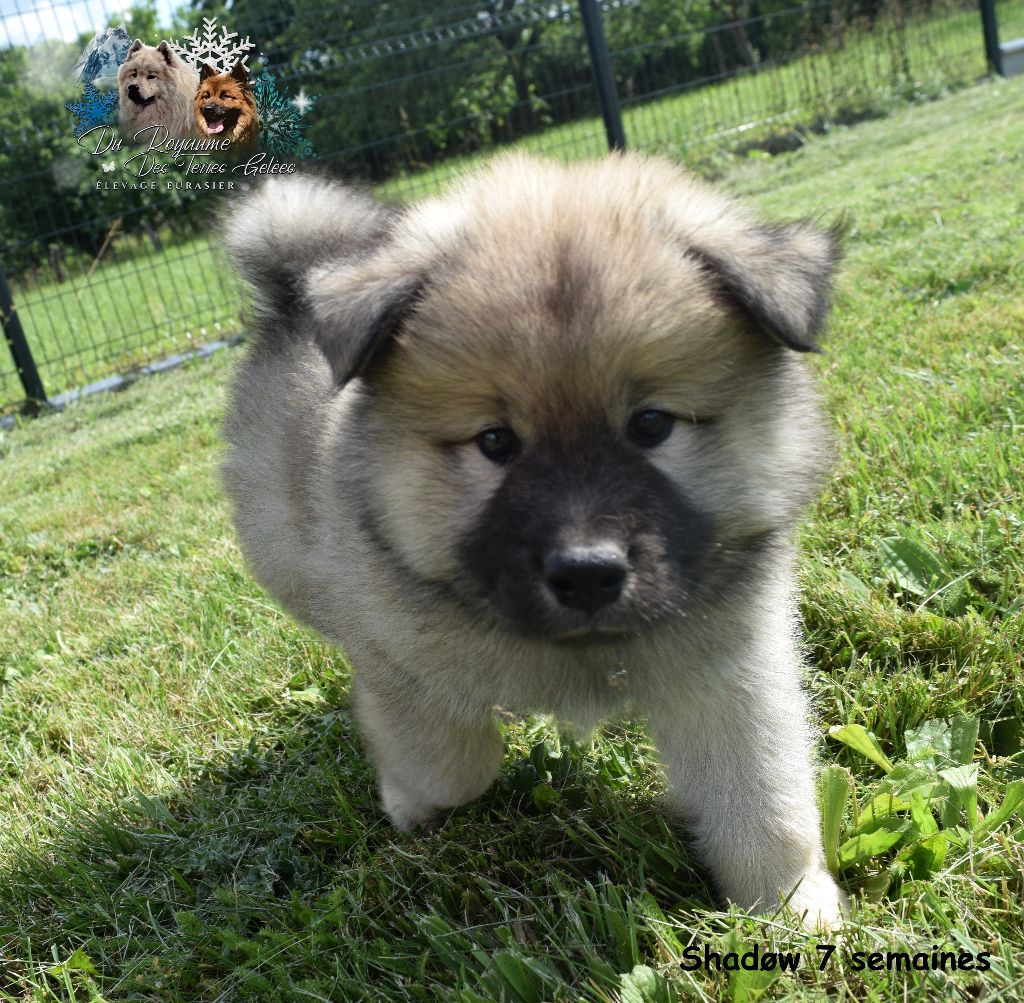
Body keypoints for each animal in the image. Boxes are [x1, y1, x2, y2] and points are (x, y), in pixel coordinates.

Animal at [222, 152, 847, 930]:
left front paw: (789, 903)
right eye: (496, 442)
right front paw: (412, 801)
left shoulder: (730, 671)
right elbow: (446, 763)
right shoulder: (394, 651)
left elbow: (764, 798)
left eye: (650, 425)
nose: (587, 573)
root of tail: (291, 289)